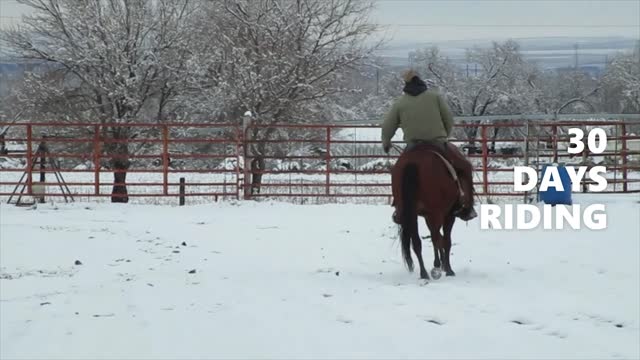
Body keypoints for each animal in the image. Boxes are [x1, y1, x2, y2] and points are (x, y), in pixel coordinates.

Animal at [390, 143, 460, 278]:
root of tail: (412, 162)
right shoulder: (447, 215)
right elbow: (445, 240)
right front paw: (447, 268)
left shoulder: (427, 215)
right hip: (436, 214)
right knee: (436, 238)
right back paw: (438, 267)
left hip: (412, 214)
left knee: (418, 242)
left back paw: (424, 273)